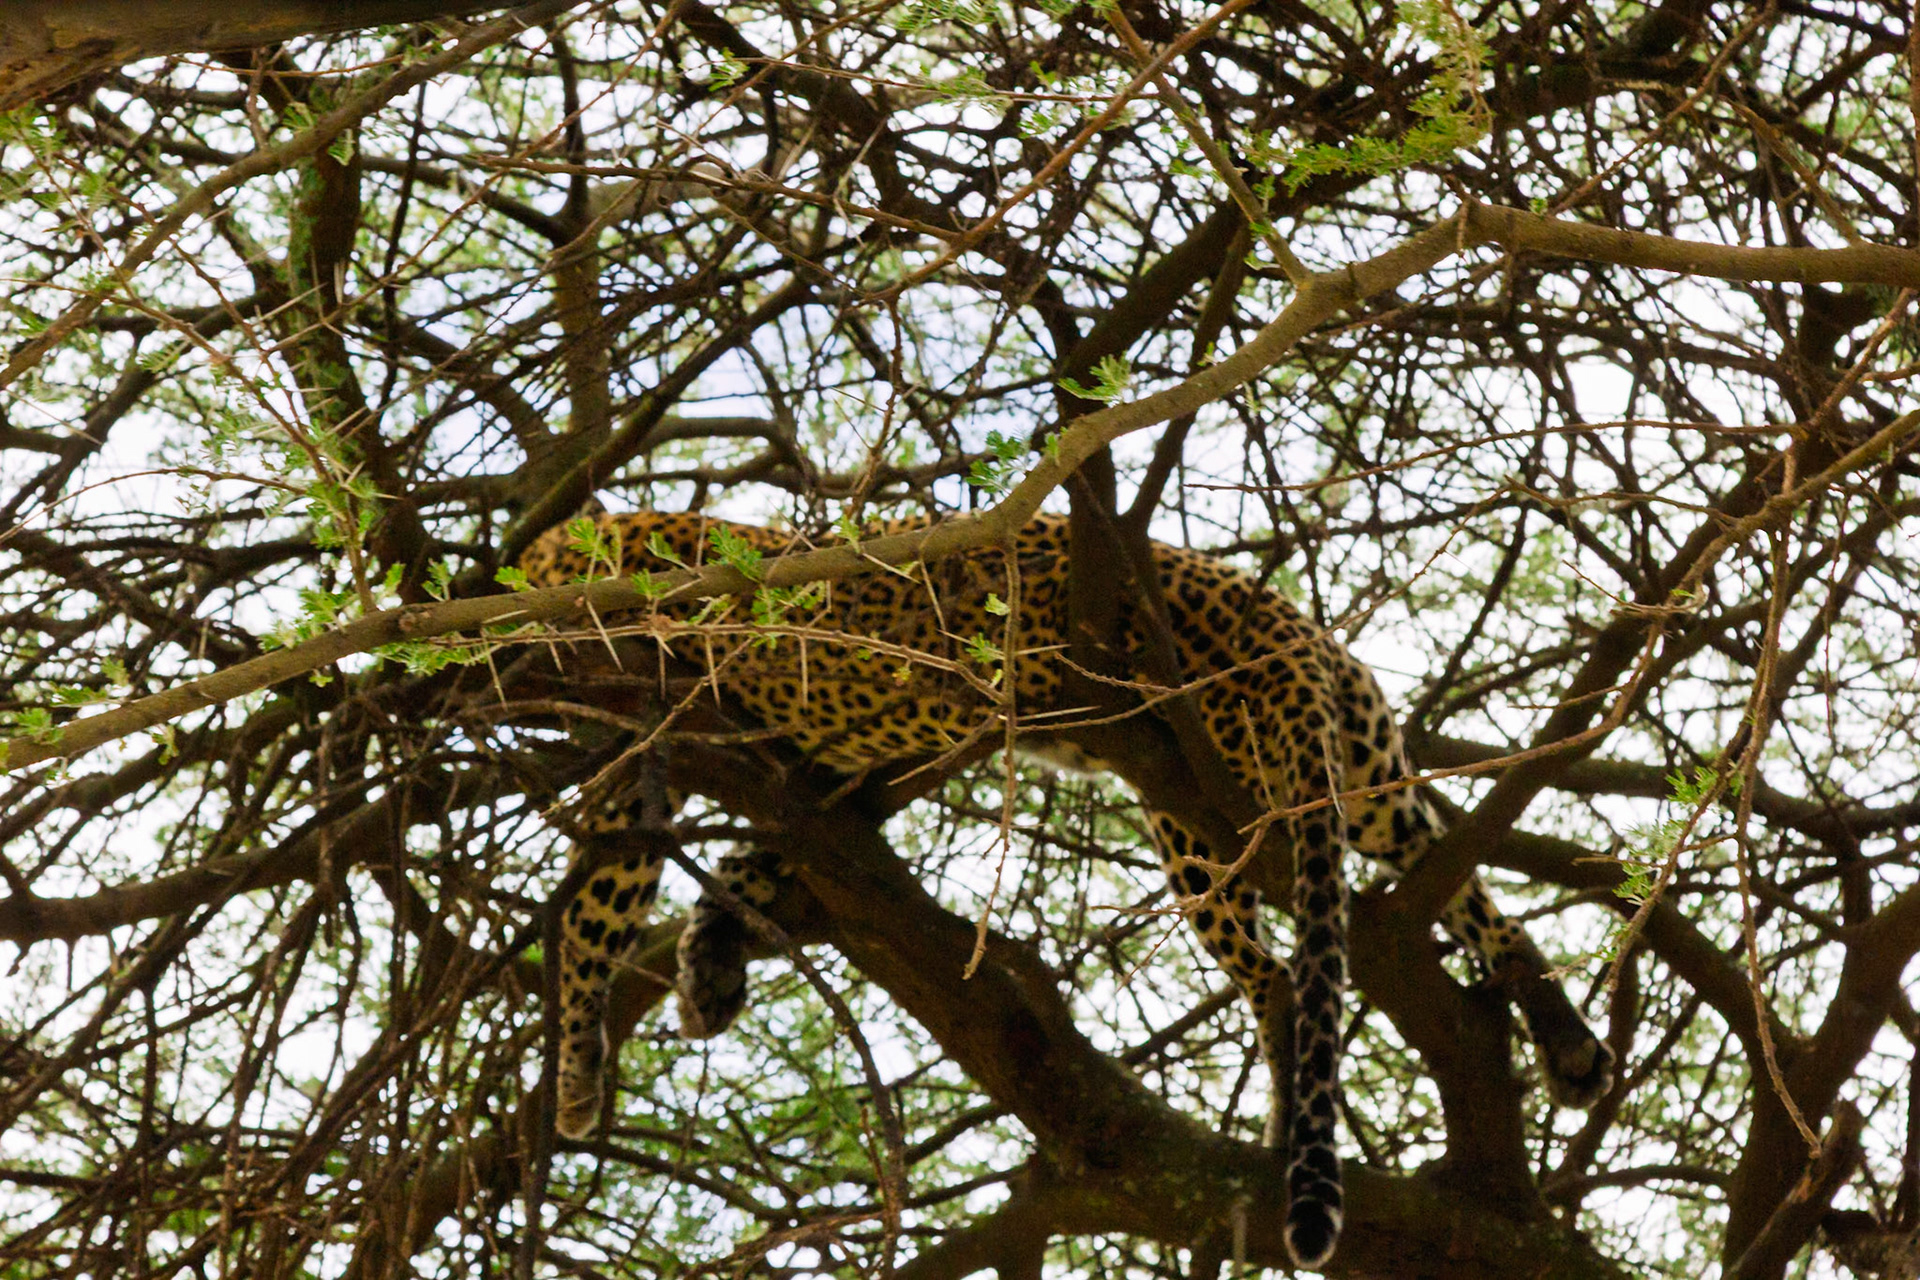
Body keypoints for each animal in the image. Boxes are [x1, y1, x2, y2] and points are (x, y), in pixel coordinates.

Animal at [519, 509, 1616, 1269]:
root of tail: (1288, 633)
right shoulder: (825, 790)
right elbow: (720, 869)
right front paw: (688, 983)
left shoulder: (674, 740)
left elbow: (603, 899)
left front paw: (581, 1070)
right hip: (1369, 779)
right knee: (1476, 898)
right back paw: (1567, 1044)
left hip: (1204, 818)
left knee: (1276, 981)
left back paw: (1276, 1134)